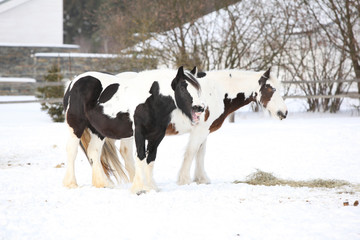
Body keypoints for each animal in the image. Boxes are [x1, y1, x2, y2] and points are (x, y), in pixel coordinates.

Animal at [62, 66, 205, 193]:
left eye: (198, 88)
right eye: (183, 87)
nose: (200, 108)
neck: (152, 100)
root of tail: (73, 82)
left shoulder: (157, 135)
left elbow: (151, 158)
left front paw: (151, 187)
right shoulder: (139, 133)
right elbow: (141, 157)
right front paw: (139, 188)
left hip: (98, 131)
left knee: (94, 152)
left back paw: (103, 184)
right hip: (76, 126)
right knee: (71, 151)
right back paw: (71, 184)